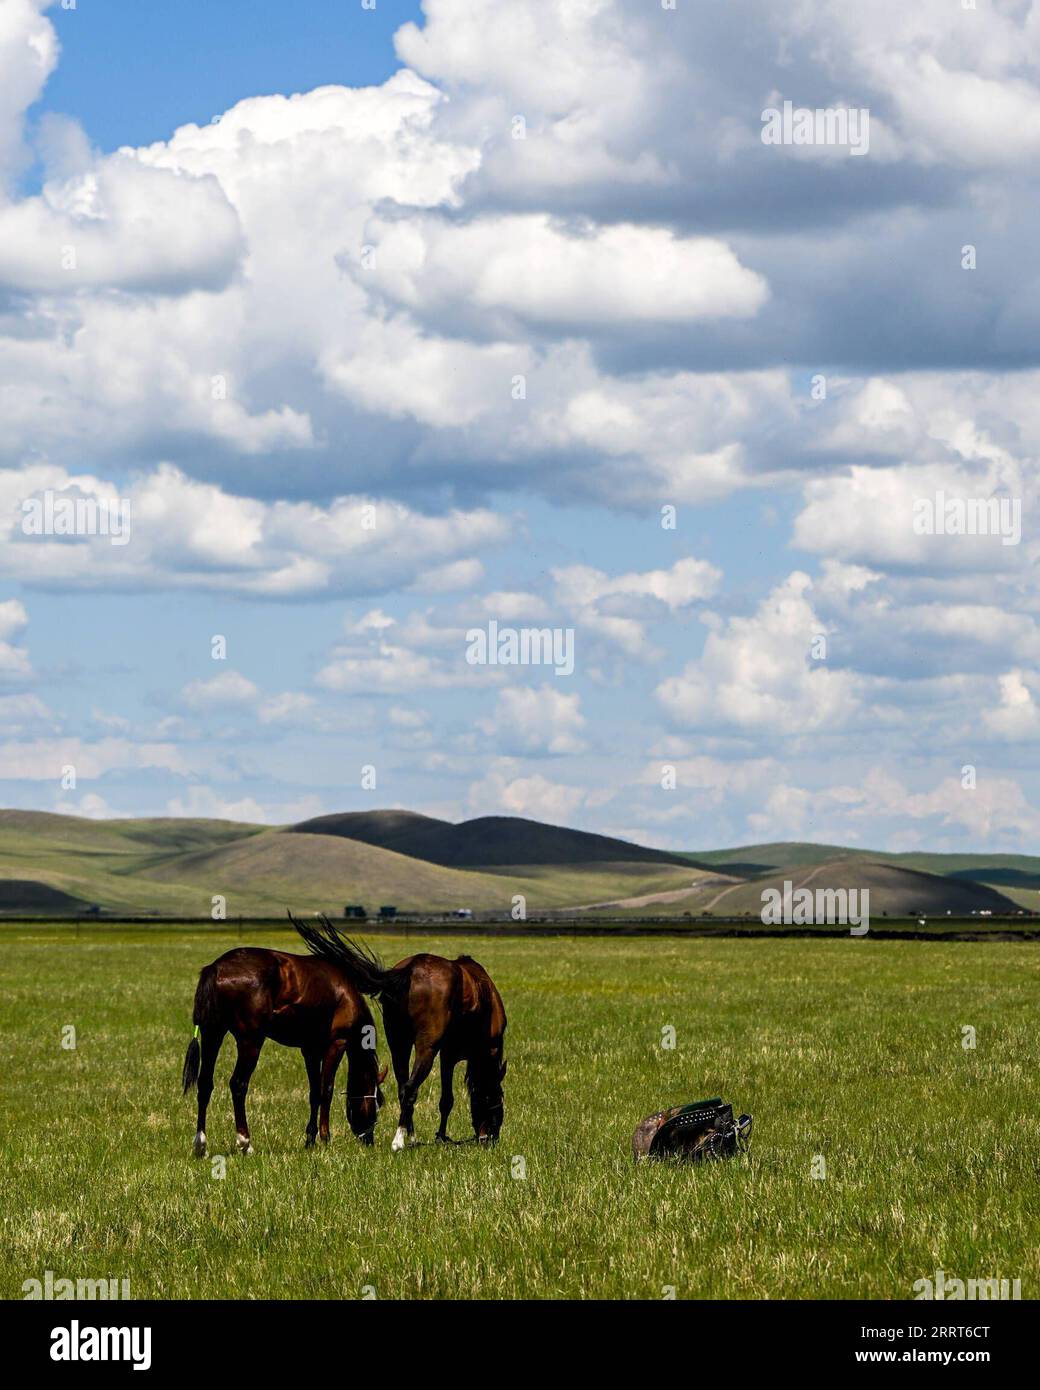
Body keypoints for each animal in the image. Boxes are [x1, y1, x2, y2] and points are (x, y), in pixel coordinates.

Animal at [180, 940, 387, 1157]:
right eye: (378, 1103)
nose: (369, 1140)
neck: (345, 994)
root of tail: (217, 967)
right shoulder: (337, 1044)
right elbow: (326, 1091)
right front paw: (325, 1138)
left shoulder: (310, 1050)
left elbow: (314, 1093)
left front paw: (310, 1139)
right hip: (250, 1041)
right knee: (238, 1084)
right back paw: (245, 1142)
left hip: (212, 1034)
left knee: (205, 1083)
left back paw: (200, 1144)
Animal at [291, 915, 507, 1151]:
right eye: (499, 1103)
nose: (491, 1138)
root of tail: (409, 971)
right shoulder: (453, 1055)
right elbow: (450, 1098)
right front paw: (441, 1137)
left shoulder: (447, 1056)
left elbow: (446, 1099)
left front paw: (440, 1136)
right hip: (425, 1048)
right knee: (410, 1088)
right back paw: (399, 1139)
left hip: (398, 1043)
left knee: (403, 1087)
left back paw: (410, 1136)